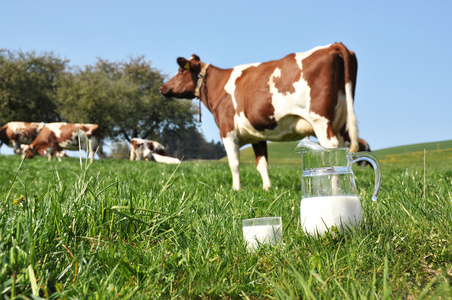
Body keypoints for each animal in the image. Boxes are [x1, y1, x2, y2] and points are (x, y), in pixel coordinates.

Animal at [159, 42, 360, 190]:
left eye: (181, 70)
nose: (162, 87)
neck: (219, 86)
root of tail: (334, 45)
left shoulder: (227, 131)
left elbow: (234, 163)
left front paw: (236, 189)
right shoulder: (257, 136)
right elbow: (262, 163)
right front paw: (267, 188)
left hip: (320, 119)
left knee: (331, 148)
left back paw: (332, 187)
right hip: (341, 121)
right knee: (342, 148)